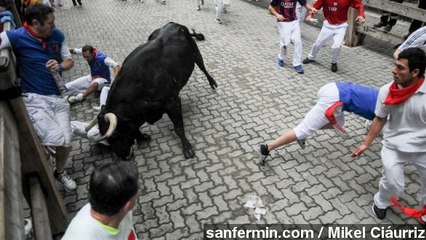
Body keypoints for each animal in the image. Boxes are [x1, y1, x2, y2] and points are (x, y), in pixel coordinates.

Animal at [96, 22, 216, 160]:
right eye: (107, 139)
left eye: (115, 135)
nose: (122, 156)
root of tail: (173, 23)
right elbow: (135, 128)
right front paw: (142, 138)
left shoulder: (171, 102)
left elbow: (178, 127)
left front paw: (187, 148)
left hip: (195, 53)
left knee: (202, 67)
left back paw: (213, 83)